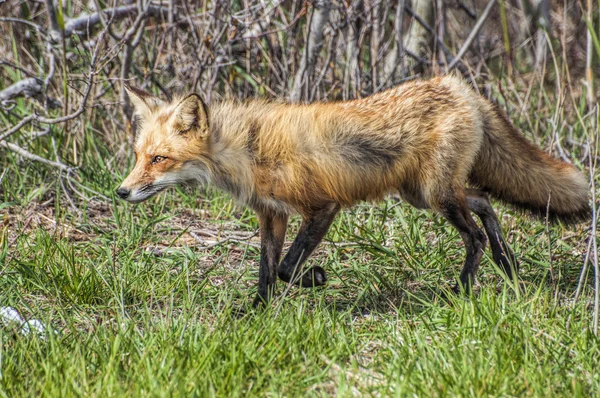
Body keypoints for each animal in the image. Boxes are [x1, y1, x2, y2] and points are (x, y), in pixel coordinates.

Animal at [117, 74, 592, 304]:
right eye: (139, 155)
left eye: (159, 159)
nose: (121, 192)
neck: (248, 149)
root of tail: (459, 86)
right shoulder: (272, 214)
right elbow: (266, 272)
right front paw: (255, 315)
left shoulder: (322, 207)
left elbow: (287, 268)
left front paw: (315, 278)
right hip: (423, 193)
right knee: (485, 201)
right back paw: (506, 261)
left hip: (435, 195)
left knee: (473, 233)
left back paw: (462, 291)